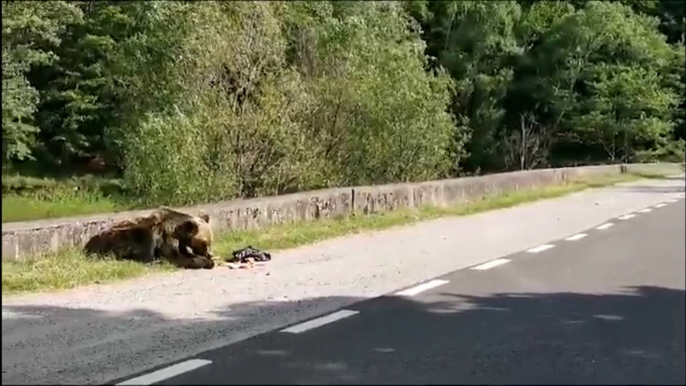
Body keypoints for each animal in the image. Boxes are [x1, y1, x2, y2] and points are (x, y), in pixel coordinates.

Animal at [85, 208, 216, 268]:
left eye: (210, 242)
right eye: (203, 243)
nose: (209, 254)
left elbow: (185, 253)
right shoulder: (164, 237)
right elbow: (174, 257)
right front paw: (206, 262)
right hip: (118, 238)